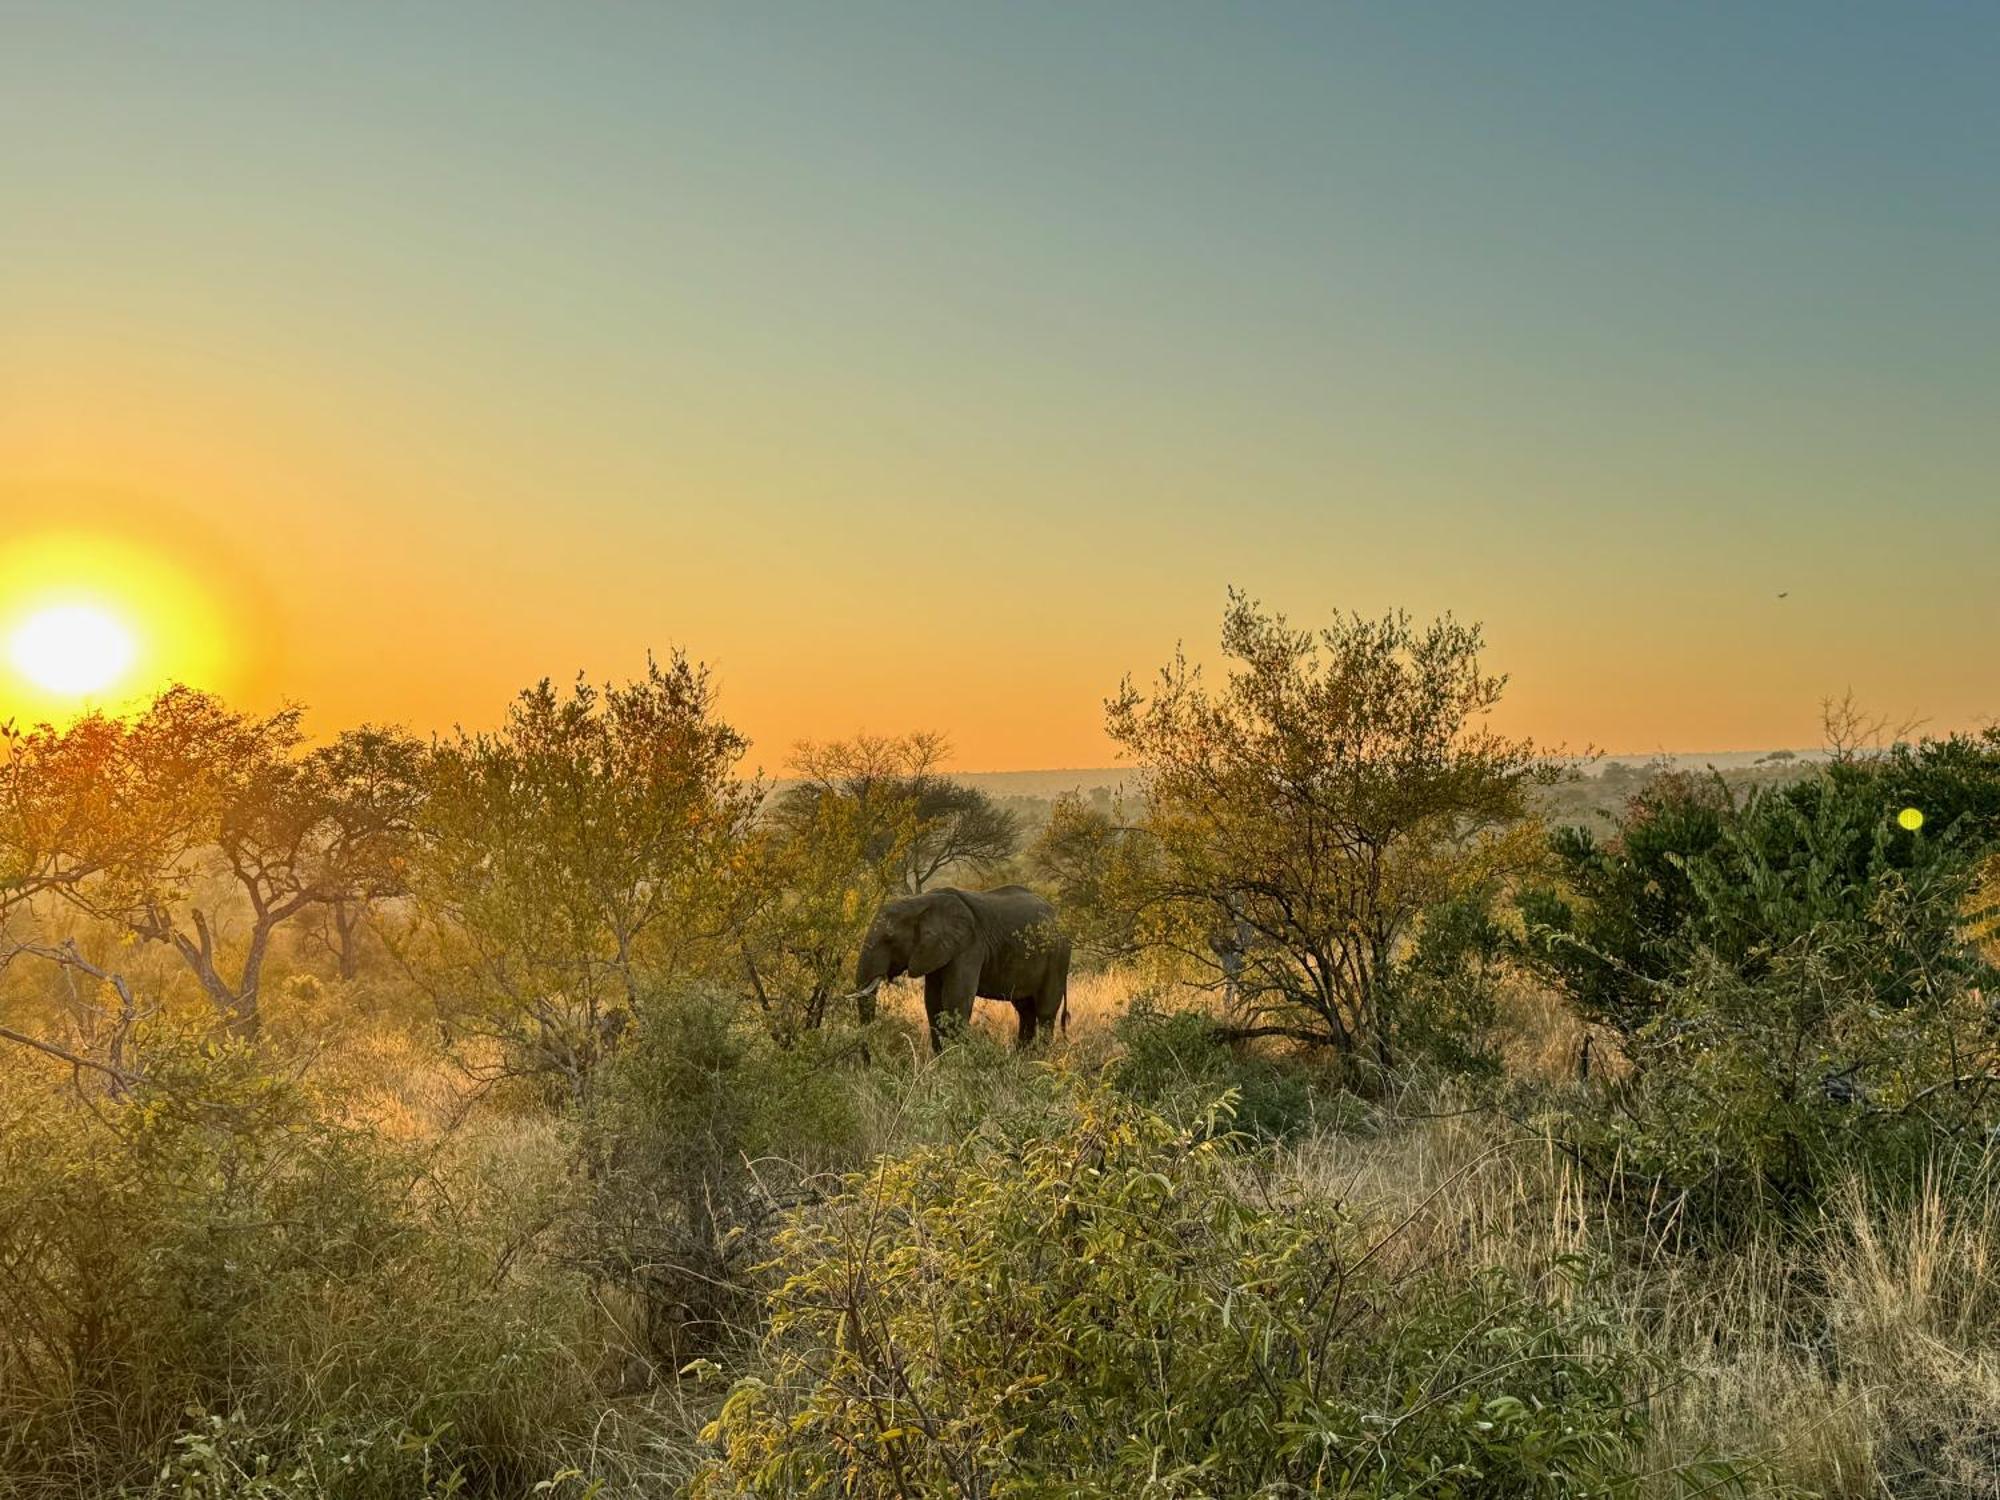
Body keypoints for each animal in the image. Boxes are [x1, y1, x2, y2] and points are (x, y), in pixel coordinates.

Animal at [860, 888, 1080, 1048]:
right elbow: (933, 1004)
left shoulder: (969, 947)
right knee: (1025, 1010)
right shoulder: (937, 951)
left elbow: (955, 1001)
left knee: (1045, 1012)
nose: (867, 1062)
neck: (921, 902)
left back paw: (1039, 1058)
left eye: (888, 940)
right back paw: (1024, 1057)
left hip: (1057, 957)